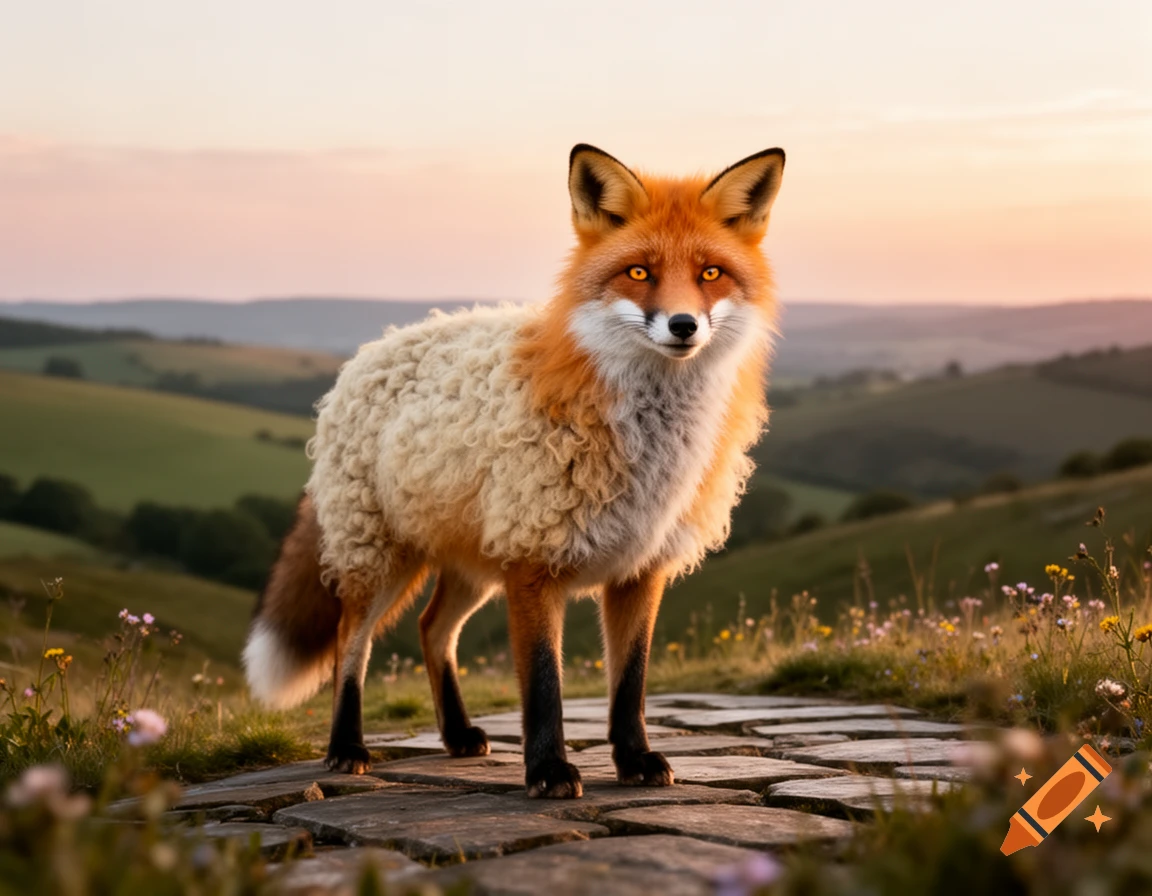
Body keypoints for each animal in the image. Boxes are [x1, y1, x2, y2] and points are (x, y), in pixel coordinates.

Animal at [243, 144, 785, 799]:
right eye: (638, 273)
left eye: (710, 274)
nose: (684, 325)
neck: (648, 446)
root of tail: (367, 355)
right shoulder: (533, 557)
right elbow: (544, 684)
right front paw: (548, 770)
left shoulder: (641, 566)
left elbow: (630, 683)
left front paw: (634, 760)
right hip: (379, 556)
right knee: (354, 643)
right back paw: (347, 747)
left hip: (472, 564)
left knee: (431, 629)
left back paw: (456, 734)